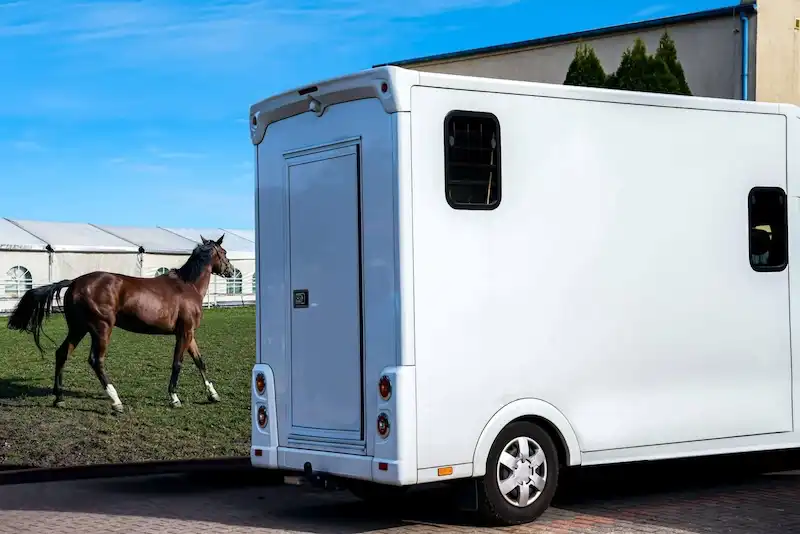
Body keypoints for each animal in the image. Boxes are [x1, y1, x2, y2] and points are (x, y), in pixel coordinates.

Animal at [6, 234, 237, 413]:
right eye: (224, 252)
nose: (231, 271)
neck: (188, 286)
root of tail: (74, 283)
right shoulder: (184, 333)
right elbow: (177, 363)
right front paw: (174, 398)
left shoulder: (189, 334)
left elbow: (200, 362)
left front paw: (213, 395)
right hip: (101, 329)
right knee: (95, 360)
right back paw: (116, 401)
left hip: (78, 329)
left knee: (62, 353)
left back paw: (59, 398)